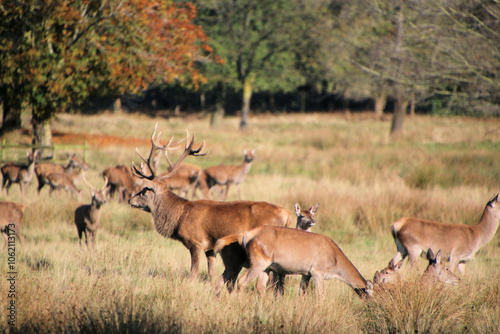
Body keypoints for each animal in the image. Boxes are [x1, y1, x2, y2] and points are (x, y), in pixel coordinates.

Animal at [128, 124, 292, 292]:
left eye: (145, 189)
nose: (130, 199)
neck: (179, 215)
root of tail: (287, 214)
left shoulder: (196, 242)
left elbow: (193, 273)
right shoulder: (210, 248)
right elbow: (211, 275)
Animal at [213, 226, 374, 296]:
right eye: (374, 293)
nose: (373, 307)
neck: (332, 252)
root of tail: (248, 234)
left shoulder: (306, 275)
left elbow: (301, 293)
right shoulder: (317, 274)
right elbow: (320, 295)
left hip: (261, 269)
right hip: (256, 266)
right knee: (240, 282)